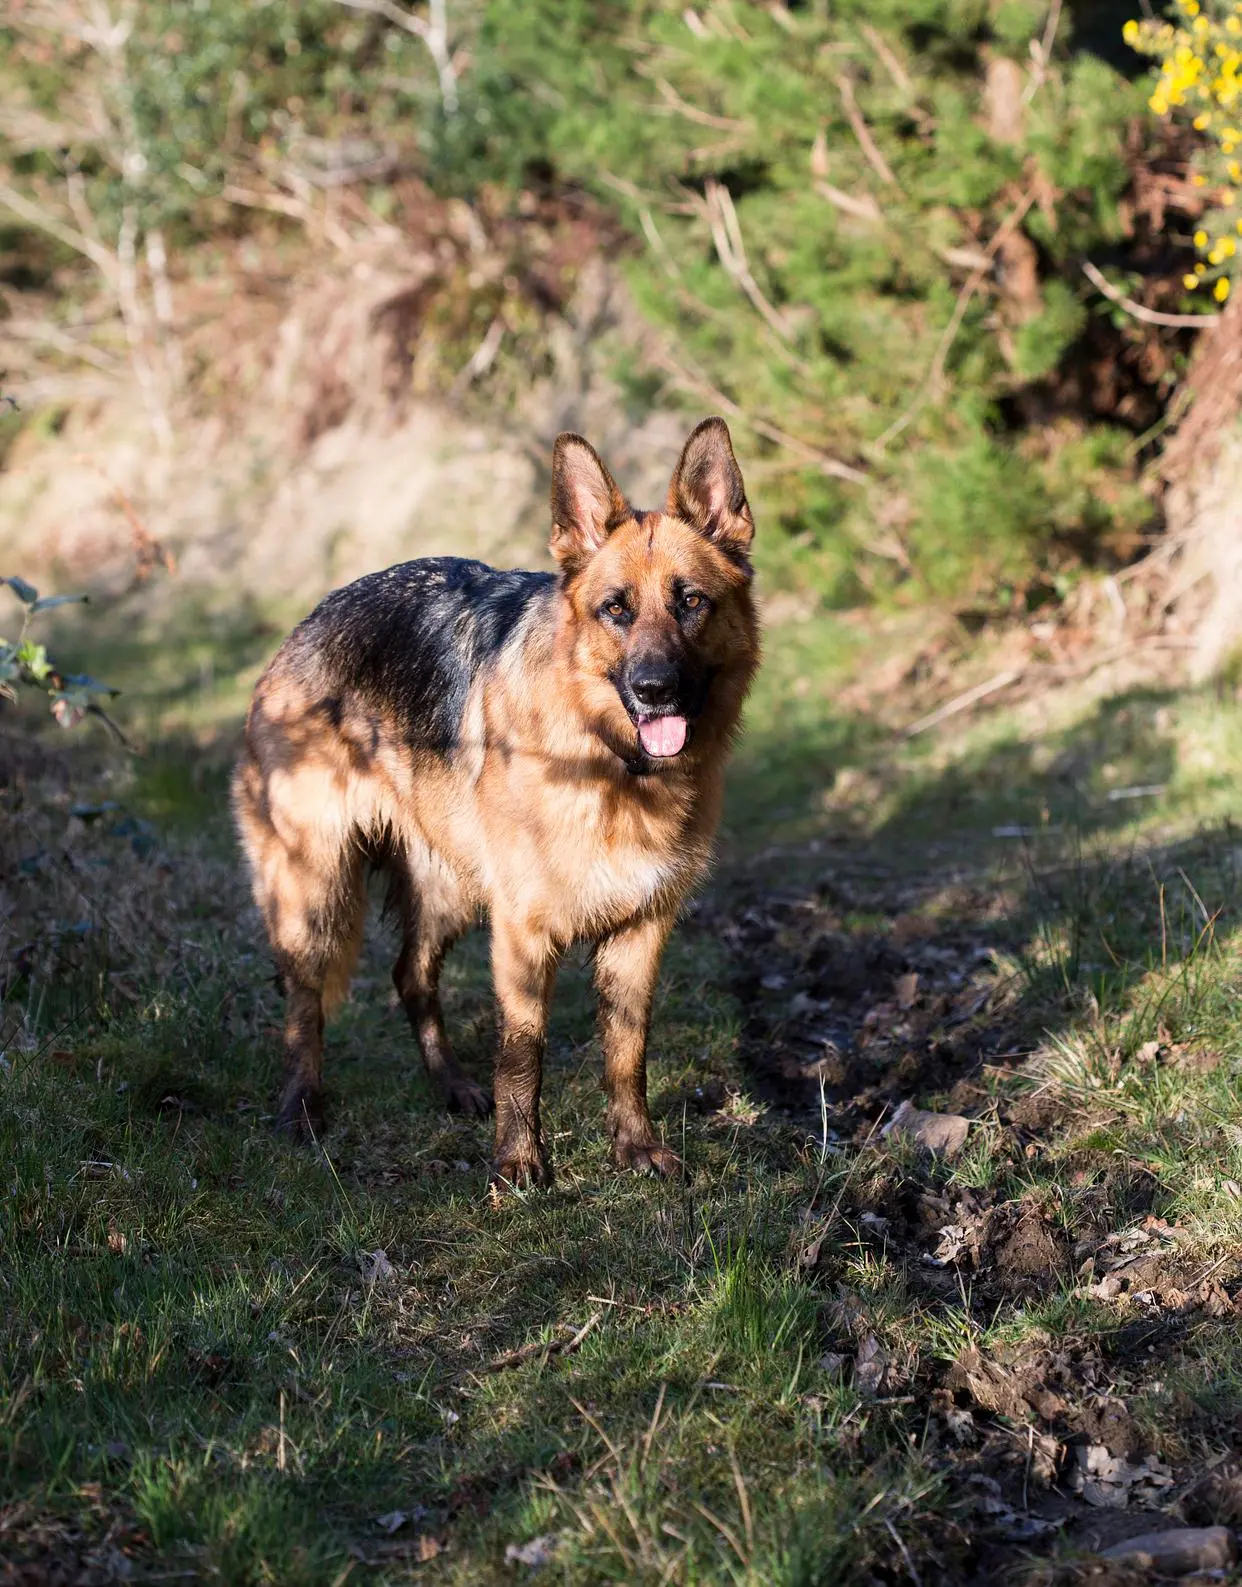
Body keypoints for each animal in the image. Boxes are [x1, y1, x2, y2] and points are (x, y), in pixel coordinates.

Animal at [231, 415, 758, 1187]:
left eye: (691, 601)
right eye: (616, 610)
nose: (655, 689)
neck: (608, 761)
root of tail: (304, 626)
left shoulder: (641, 932)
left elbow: (627, 1053)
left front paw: (634, 1148)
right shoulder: (522, 934)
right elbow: (521, 1053)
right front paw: (518, 1164)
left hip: (446, 889)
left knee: (410, 976)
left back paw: (451, 1086)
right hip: (316, 889)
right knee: (304, 1003)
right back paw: (300, 1108)